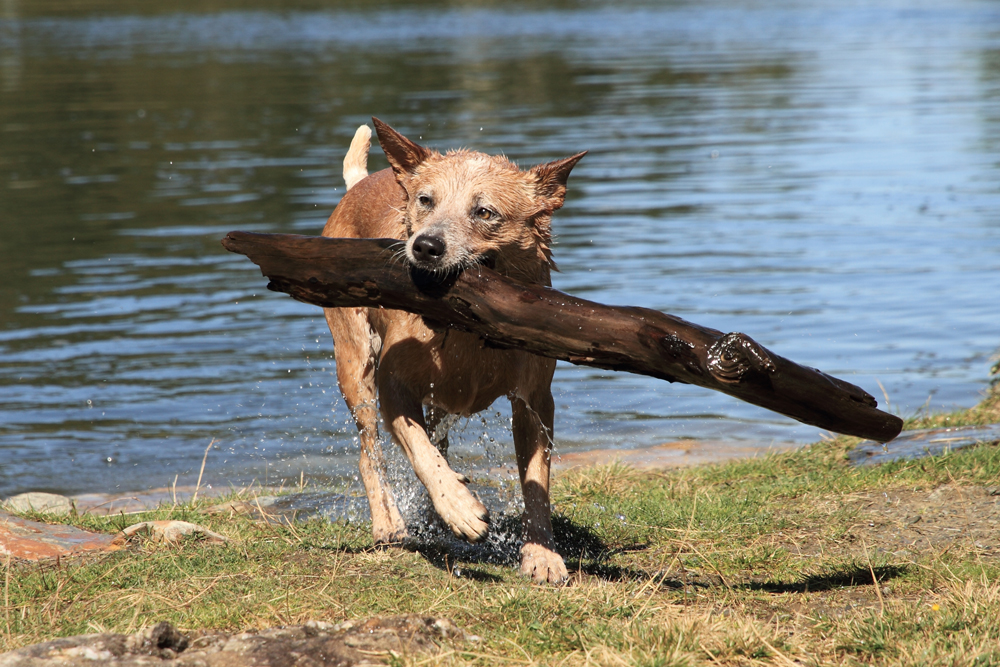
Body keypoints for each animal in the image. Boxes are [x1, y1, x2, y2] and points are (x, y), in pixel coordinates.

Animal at [320, 120, 584, 584]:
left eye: (485, 212)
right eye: (425, 200)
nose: (426, 246)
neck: (465, 334)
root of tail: (357, 186)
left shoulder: (535, 400)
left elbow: (536, 481)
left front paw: (542, 556)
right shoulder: (393, 387)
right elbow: (419, 451)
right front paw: (460, 509)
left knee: (435, 439)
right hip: (355, 363)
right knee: (370, 451)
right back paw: (390, 522)